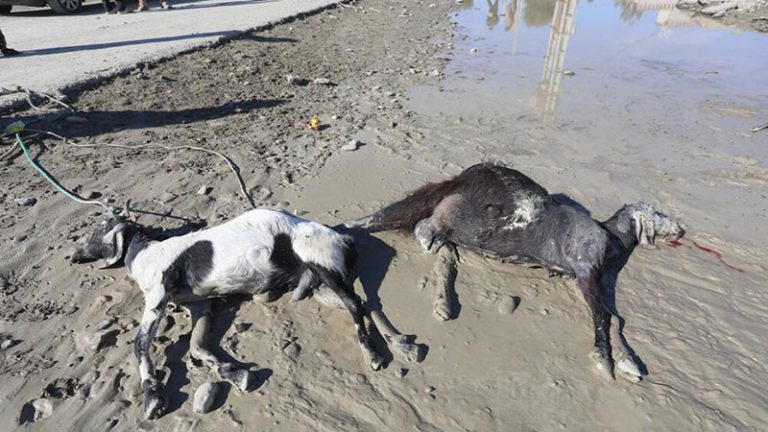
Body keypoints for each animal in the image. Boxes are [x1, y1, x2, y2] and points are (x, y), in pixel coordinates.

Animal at [70, 206, 390, 418]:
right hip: (320, 283)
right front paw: (235, 373)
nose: (72, 254)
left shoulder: (159, 294)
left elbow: (140, 344)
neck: (144, 252)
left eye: (98, 228)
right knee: (365, 304)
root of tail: (342, 237)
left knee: (355, 304)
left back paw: (372, 353)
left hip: (324, 265)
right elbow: (197, 347)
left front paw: (152, 395)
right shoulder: (200, 306)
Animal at [346, 164, 684, 384]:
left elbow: (614, 317)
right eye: (658, 214)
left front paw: (629, 361)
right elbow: (603, 316)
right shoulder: (586, 270)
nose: (681, 229)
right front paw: (604, 360)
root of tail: (462, 176)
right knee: (422, 224)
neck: (610, 236)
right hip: (465, 216)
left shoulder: (579, 279)